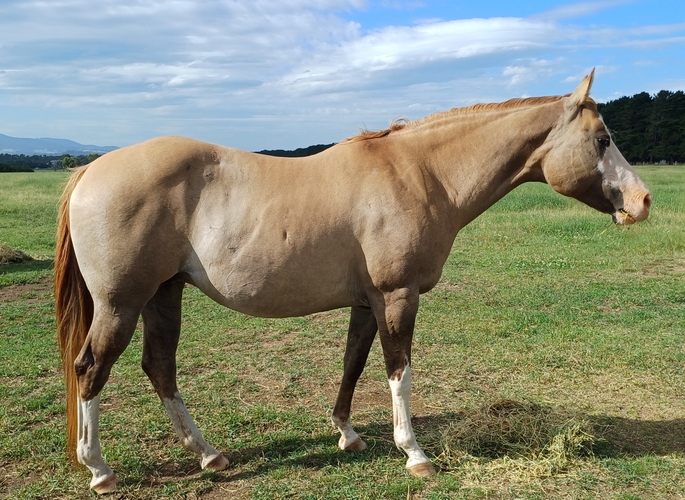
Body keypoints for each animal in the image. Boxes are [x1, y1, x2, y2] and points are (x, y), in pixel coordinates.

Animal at [55, 70, 651, 493]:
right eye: (602, 139)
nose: (643, 201)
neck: (420, 173)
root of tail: (91, 170)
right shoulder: (397, 297)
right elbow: (398, 372)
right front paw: (414, 454)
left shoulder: (367, 303)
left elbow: (354, 364)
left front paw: (347, 434)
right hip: (121, 303)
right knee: (91, 370)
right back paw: (100, 469)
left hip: (164, 295)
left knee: (159, 368)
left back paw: (209, 454)